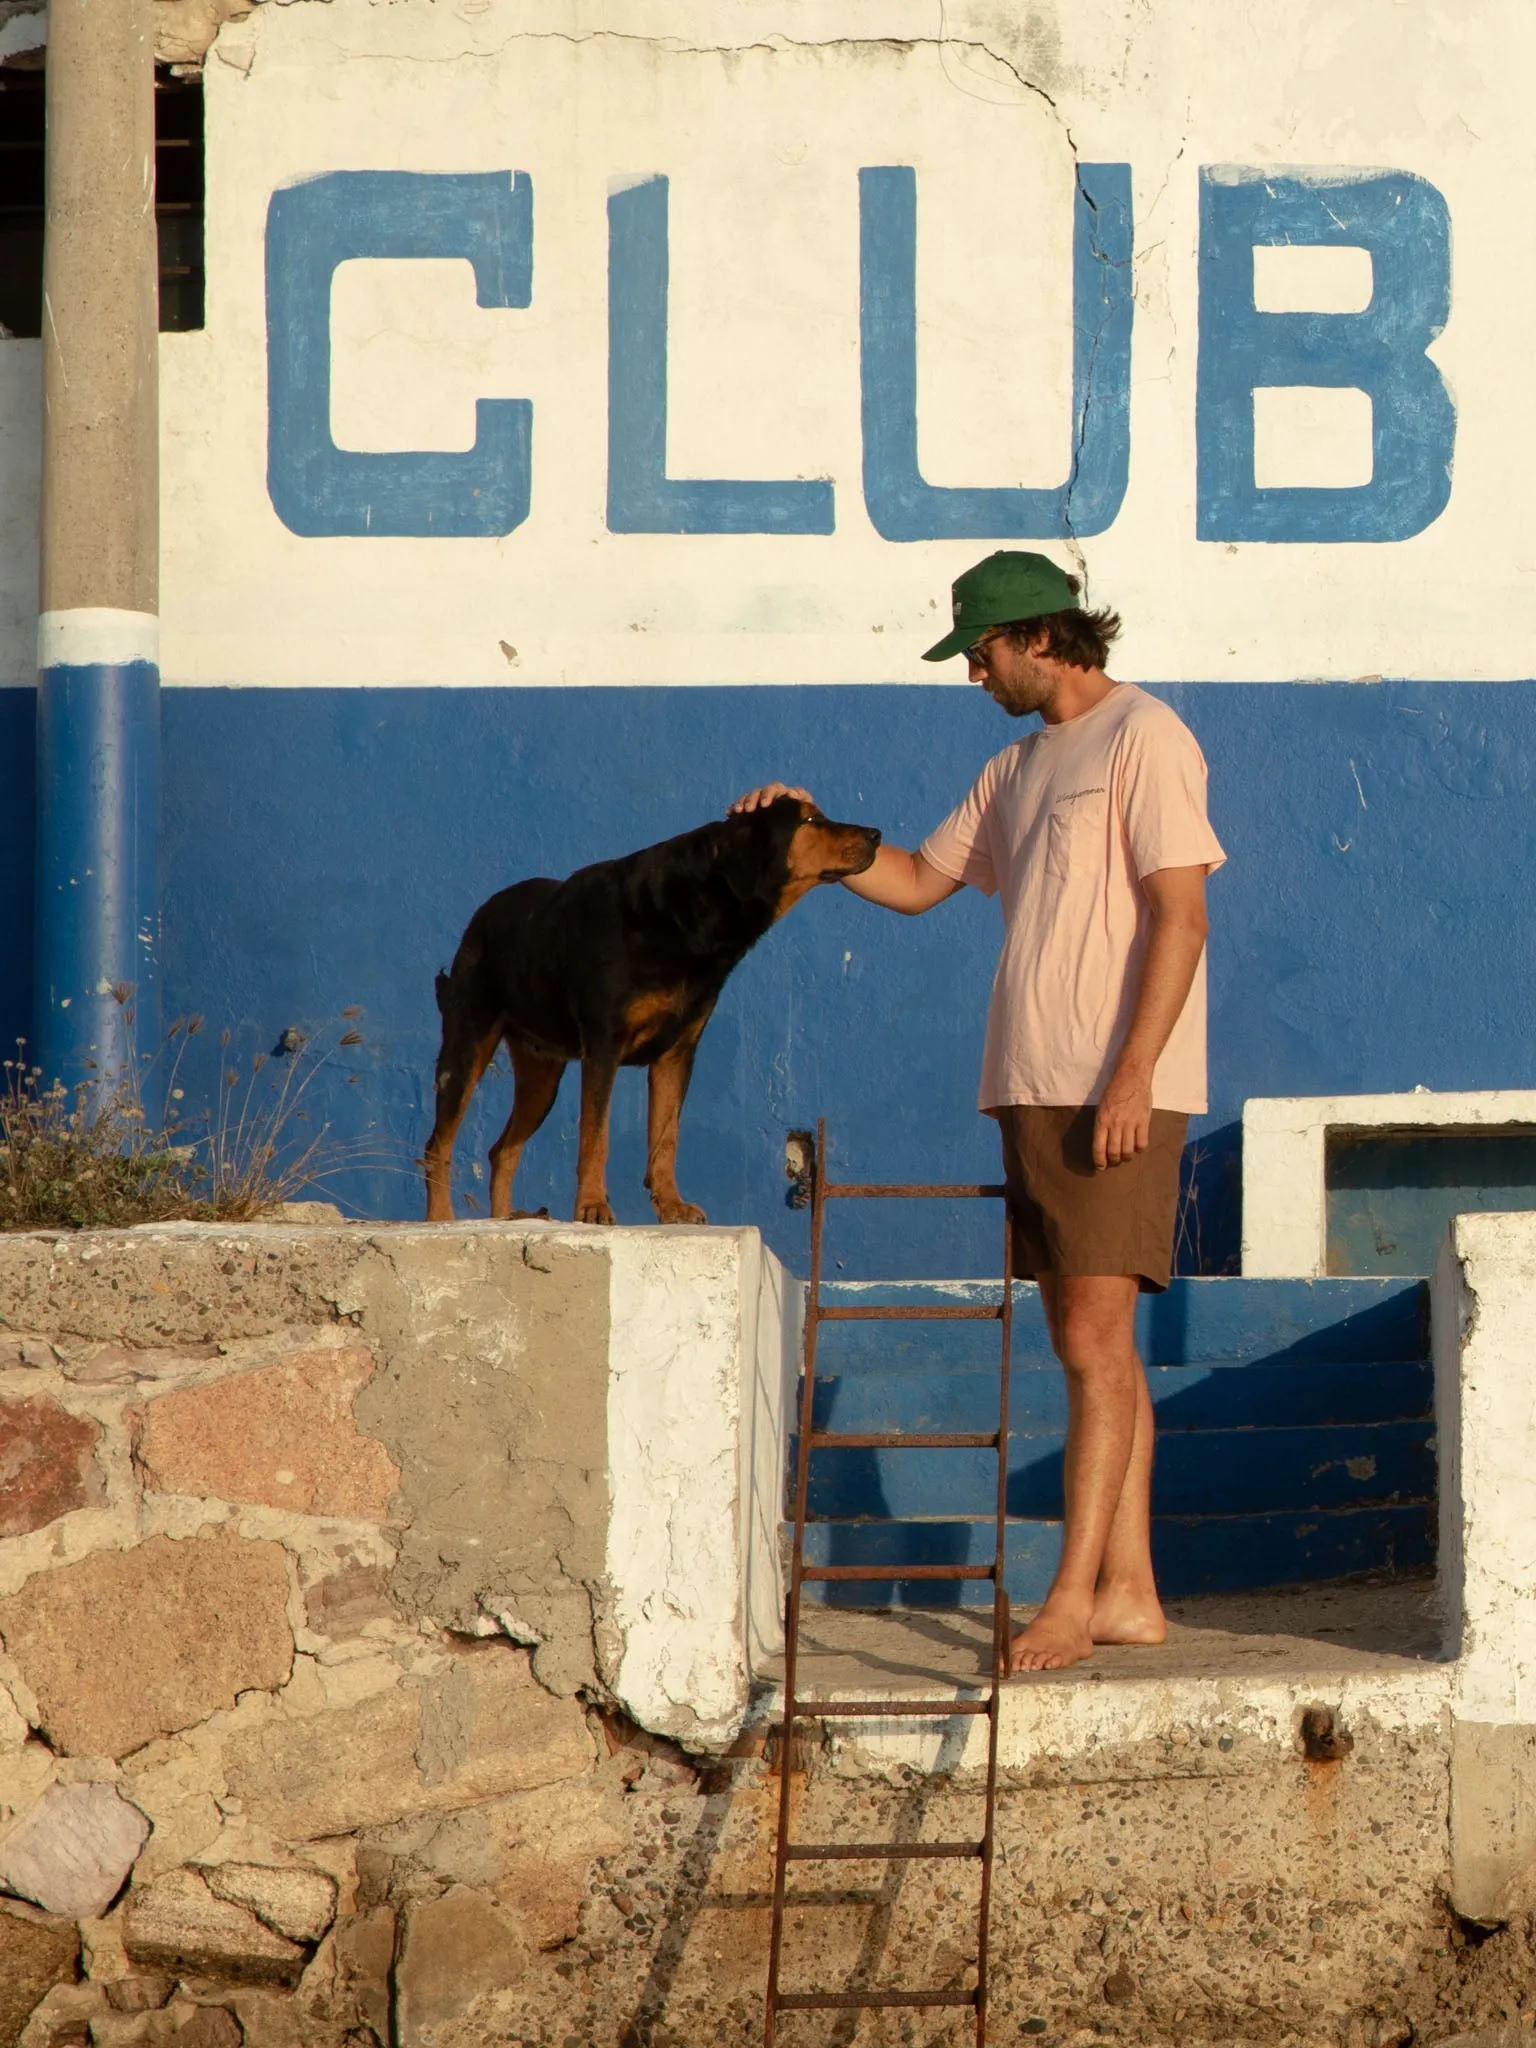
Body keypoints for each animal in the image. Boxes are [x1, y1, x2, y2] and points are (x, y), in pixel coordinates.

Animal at [423, 794, 876, 1212]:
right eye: (811, 820)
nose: (876, 835)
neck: (696, 909)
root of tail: (480, 917)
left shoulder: (677, 1053)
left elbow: (665, 1136)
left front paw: (672, 1205)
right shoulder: (604, 1045)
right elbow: (595, 1134)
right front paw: (592, 1207)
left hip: (542, 1076)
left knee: (503, 1151)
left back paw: (502, 1220)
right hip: (466, 1049)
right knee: (438, 1145)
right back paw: (442, 1218)